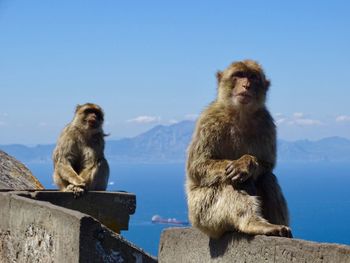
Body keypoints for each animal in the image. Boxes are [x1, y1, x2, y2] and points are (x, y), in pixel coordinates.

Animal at [186, 59, 292, 239]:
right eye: (239, 75)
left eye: (252, 77)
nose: (246, 85)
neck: (240, 114)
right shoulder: (209, 119)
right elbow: (197, 166)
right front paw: (240, 165)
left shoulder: (266, 123)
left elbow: (267, 164)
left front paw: (247, 163)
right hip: (202, 213)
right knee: (229, 180)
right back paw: (253, 223)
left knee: (266, 177)